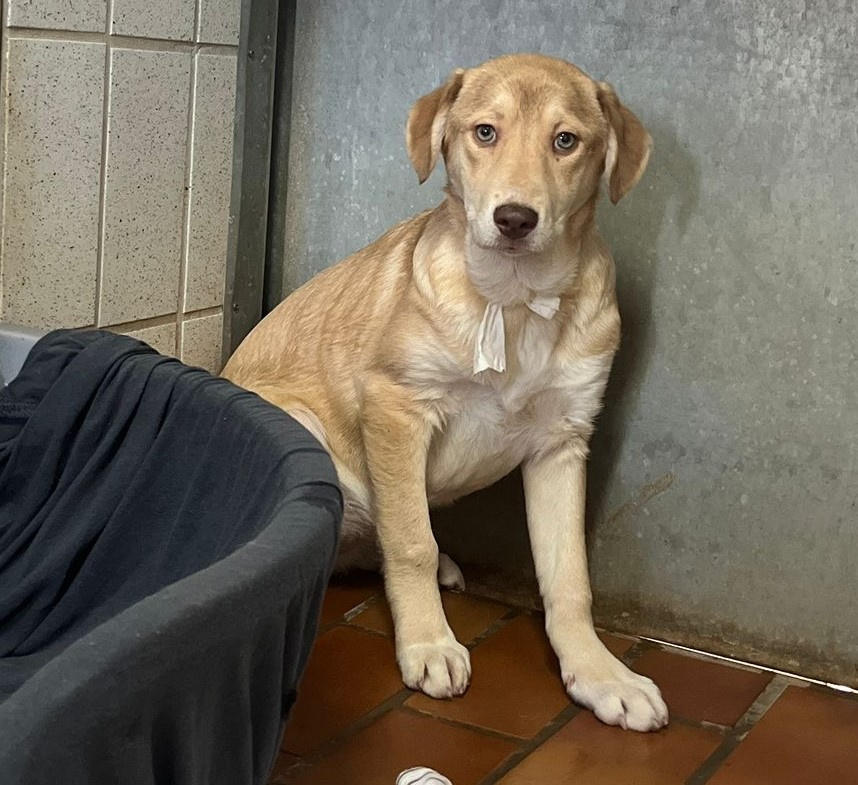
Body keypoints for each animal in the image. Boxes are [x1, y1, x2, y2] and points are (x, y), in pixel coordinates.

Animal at [222, 53, 668, 732]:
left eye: (566, 141)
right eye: (485, 132)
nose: (515, 219)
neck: (514, 301)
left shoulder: (562, 442)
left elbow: (570, 577)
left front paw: (600, 674)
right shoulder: (396, 405)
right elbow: (411, 542)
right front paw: (429, 642)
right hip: (303, 427)